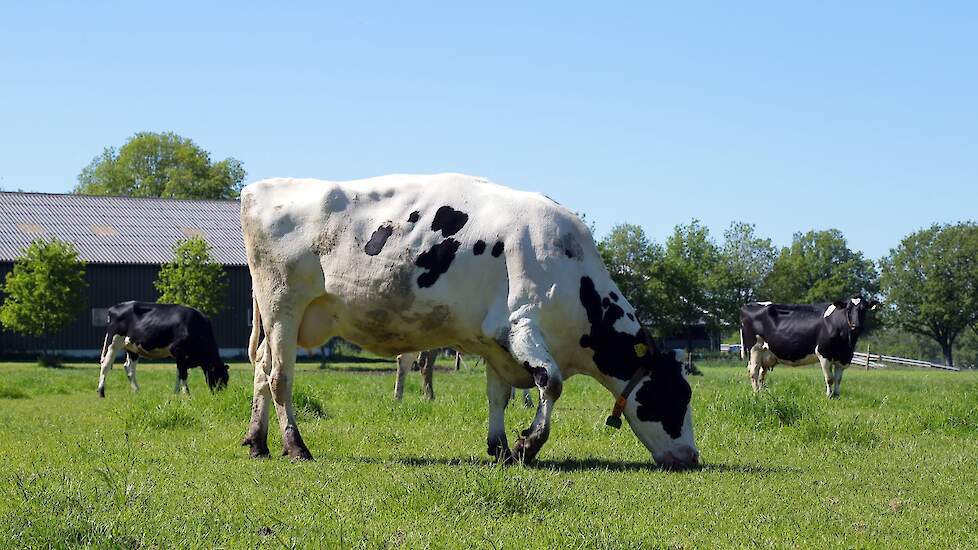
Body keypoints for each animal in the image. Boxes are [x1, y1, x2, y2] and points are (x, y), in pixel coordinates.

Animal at [97, 304, 231, 398]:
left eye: (226, 378)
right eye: (220, 377)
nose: (221, 395)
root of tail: (114, 308)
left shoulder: (182, 358)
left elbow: (179, 373)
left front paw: (176, 393)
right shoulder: (179, 351)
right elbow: (183, 374)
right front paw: (187, 395)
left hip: (132, 346)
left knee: (129, 368)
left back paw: (137, 391)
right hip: (113, 341)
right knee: (106, 365)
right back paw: (101, 393)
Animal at [235, 174, 692, 470]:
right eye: (676, 396)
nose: (691, 457)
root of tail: (258, 188)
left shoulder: (496, 341)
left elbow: (498, 395)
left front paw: (501, 448)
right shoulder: (523, 326)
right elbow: (552, 384)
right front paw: (528, 446)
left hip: (276, 318)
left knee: (260, 370)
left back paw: (257, 442)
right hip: (283, 306)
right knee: (279, 377)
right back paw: (296, 447)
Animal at [740, 300, 876, 398]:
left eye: (864, 309)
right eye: (848, 309)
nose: (856, 326)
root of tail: (746, 306)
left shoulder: (843, 358)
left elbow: (838, 379)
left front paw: (837, 396)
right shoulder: (823, 354)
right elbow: (829, 378)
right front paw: (829, 396)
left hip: (765, 353)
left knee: (761, 374)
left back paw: (764, 393)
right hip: (755, 350)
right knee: (753, 372)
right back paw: (757, 393)